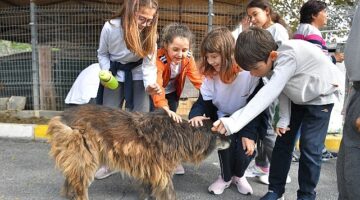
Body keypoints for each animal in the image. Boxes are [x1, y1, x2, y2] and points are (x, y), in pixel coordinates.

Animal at [47, 104, 229, 199]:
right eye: (221, 134)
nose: (232, 141)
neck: (181, 133)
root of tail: (63, 116)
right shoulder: (161, 170)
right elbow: (168, 190)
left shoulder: (151, 167)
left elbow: (149, 187)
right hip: (85, 157)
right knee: (79, 184)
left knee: (71, 179)